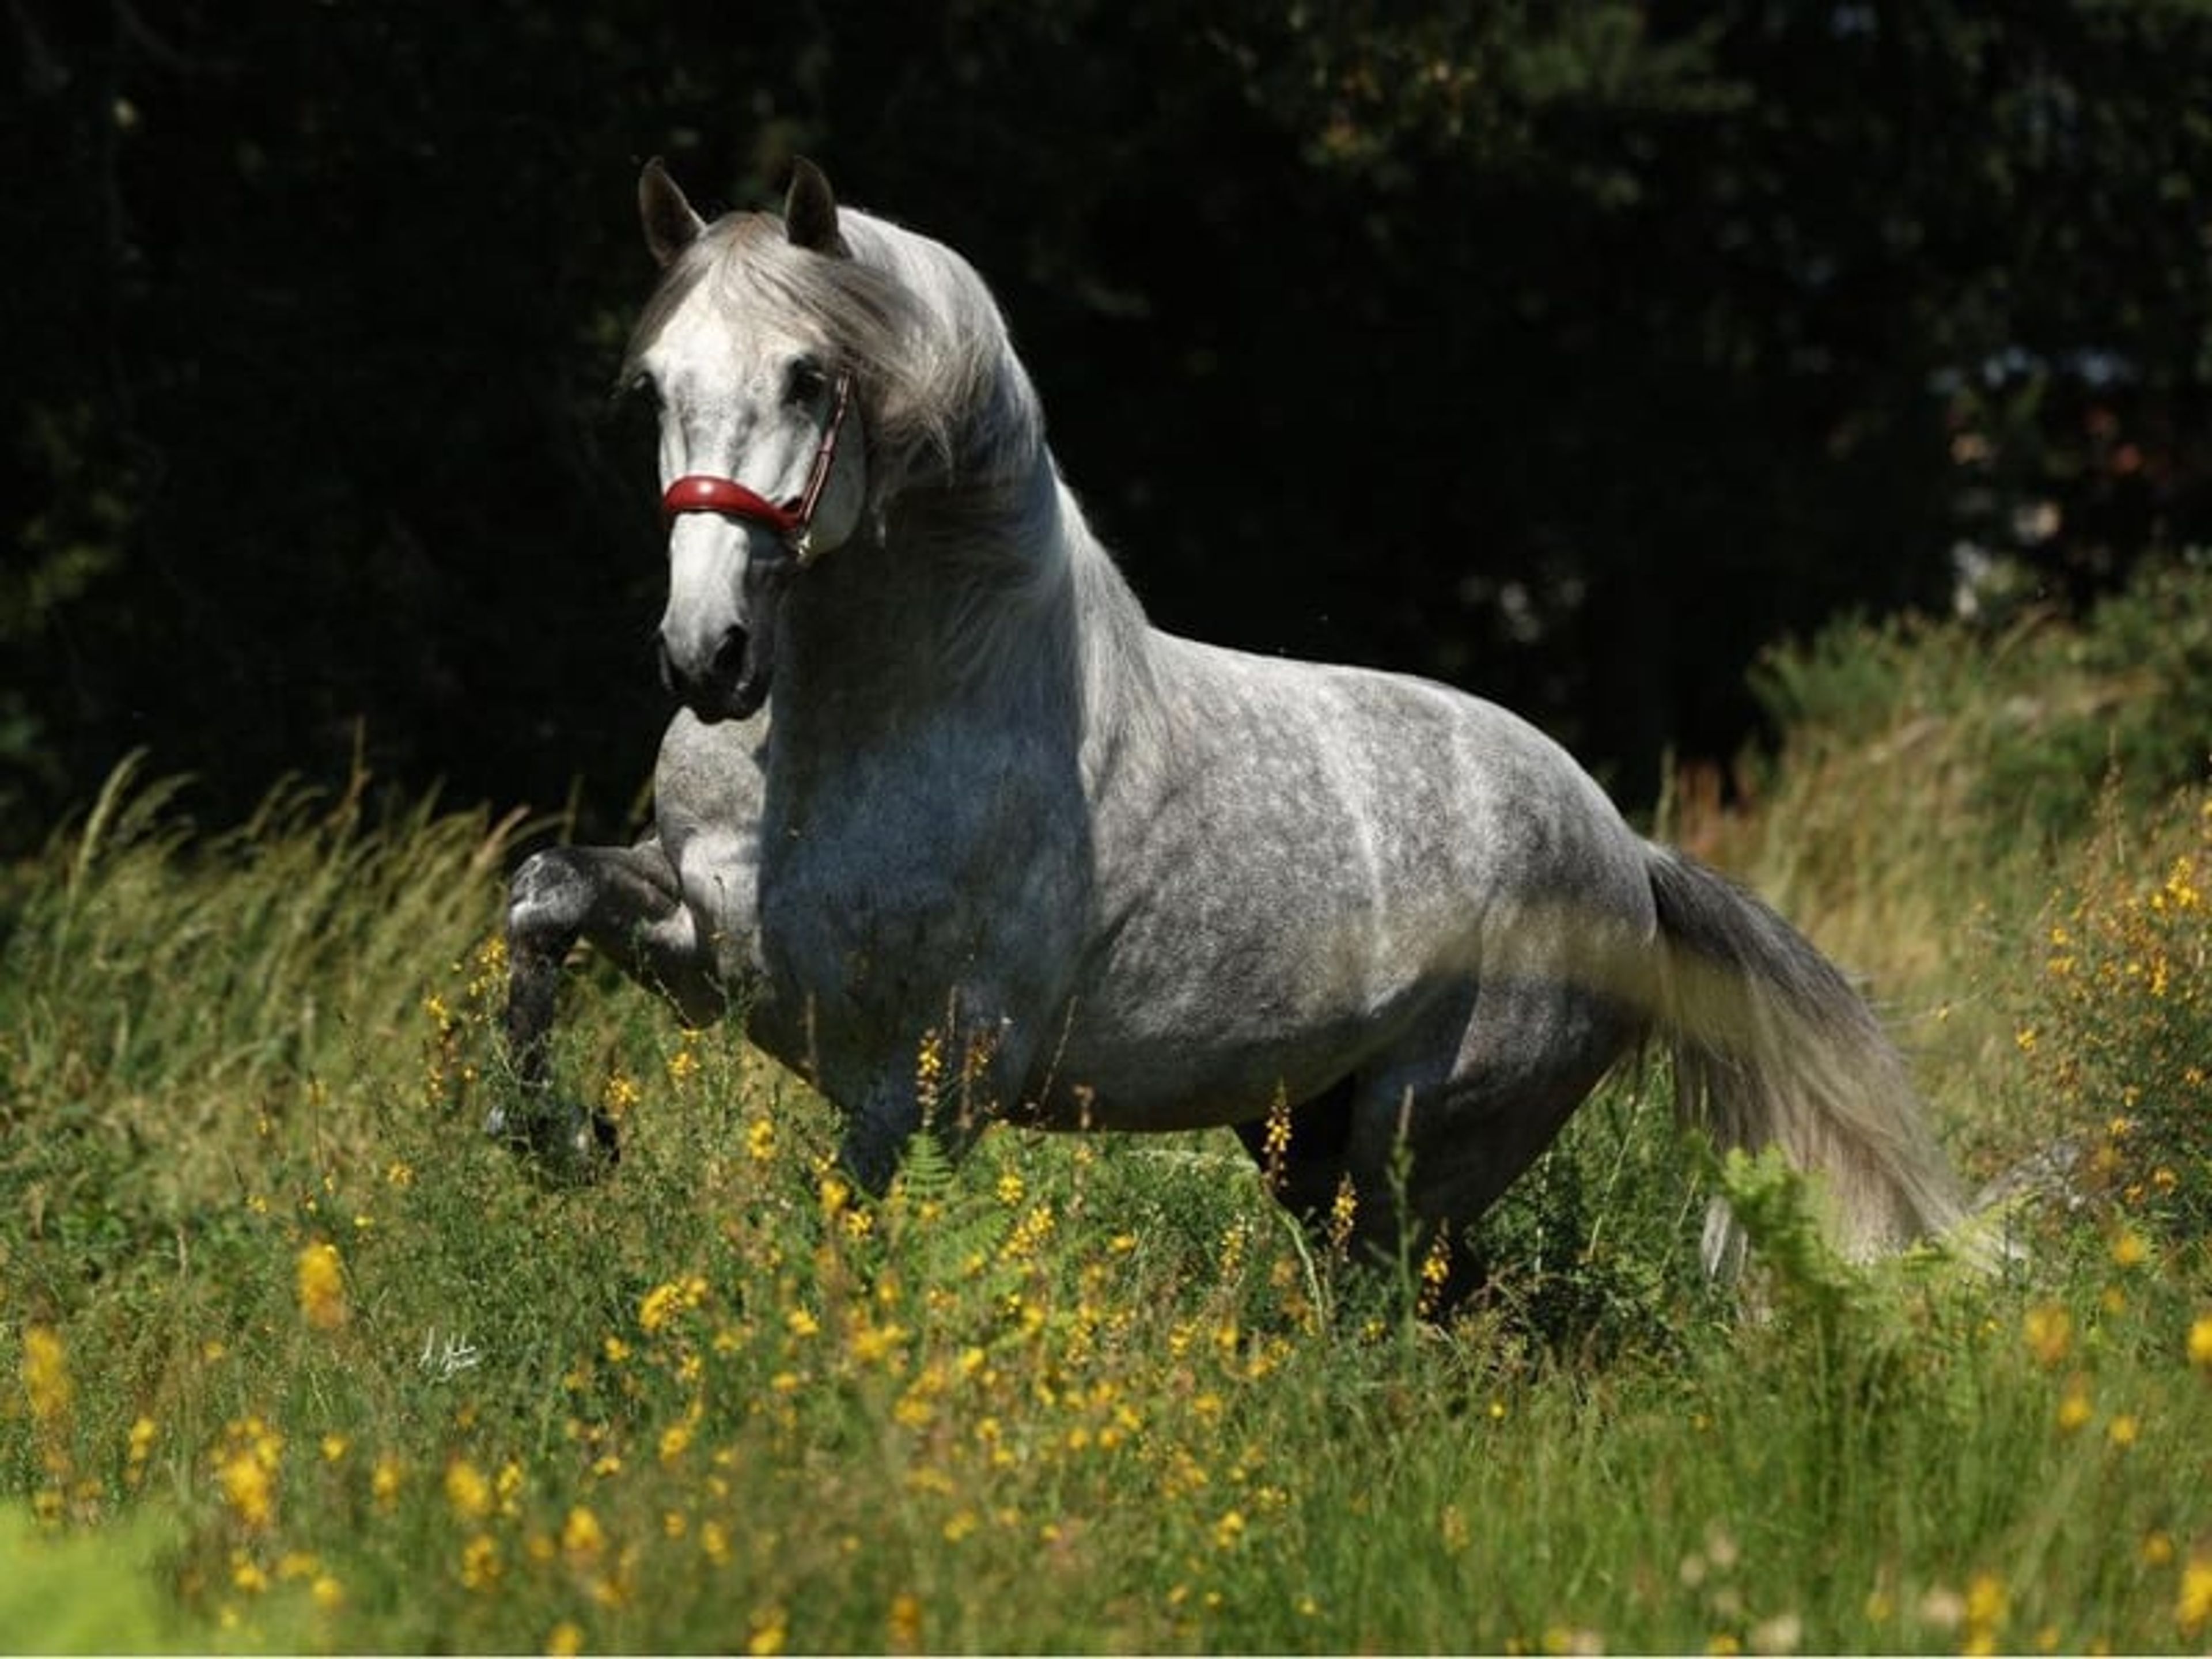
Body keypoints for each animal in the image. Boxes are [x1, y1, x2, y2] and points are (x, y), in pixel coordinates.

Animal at [492, 158, 1968, 1297]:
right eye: (655, 386)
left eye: (809, 378)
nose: (709, 654)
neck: (850, 733)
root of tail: (1629, 856)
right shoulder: (710, 945)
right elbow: (544, 894)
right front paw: (552, 1134)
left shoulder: (930, 1074)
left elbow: (853, 1236)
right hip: (1306, 1139)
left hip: (1424, 1142)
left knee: (1405, 1307)